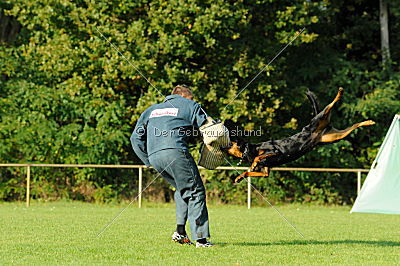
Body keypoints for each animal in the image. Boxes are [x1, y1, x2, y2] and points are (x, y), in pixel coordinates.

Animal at [225, 88, 376, 183]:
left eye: (230, 142)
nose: (221, 147)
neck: (250, 149)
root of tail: (318, 129)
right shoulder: (265, 172)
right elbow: (248, 172)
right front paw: (239, 177)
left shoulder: (274, 151)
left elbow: (258, 157)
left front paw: (254, 162)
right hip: (335, 136)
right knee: (353, 125)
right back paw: (368, 122)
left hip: (320, 118)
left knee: (330, 105)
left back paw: (340, 92)